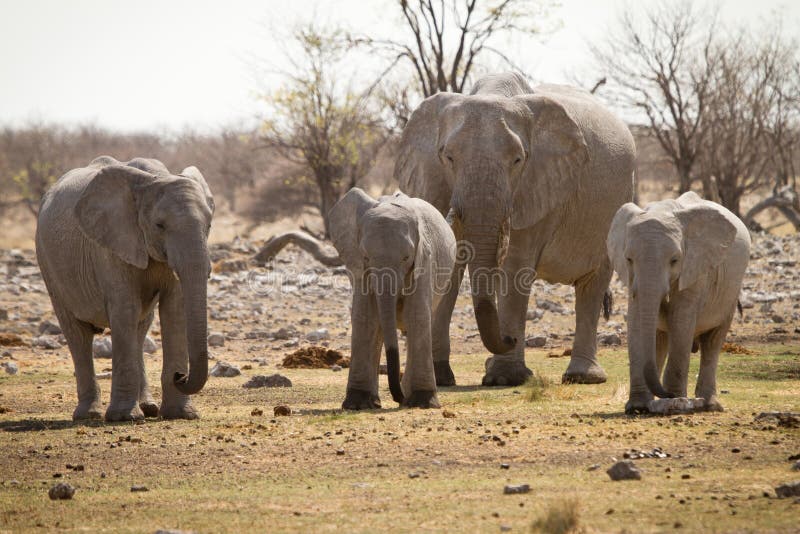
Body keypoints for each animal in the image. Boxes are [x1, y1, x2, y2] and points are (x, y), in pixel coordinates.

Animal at [35, 156, 214, 422]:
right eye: (159, 225)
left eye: (209, 225)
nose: (181, 376)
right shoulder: (111, 244)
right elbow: (125, 308)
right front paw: (124, 417)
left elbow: (175, 310)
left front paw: (182, 414)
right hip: (48, 264)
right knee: (77, 334)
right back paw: (89, 415)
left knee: (140, 328)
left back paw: (148, 408)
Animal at [328, 188, 456, 409]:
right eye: (366, 256)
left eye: (406, 258)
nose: (399, 399)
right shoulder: (361, 269)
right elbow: (366, 319)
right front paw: (356, 404)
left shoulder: (425, 261)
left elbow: (417, 316)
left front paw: (422, 402)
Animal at [395, 71, 635, 387]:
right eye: (448, 157)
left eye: (518, 160)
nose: (510, 338)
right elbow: (450, 263)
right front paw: (442, 377)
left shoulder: (537, 187)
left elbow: (514, 268)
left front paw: (503, 378)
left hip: (616, 205)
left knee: (593, 284)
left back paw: (583, 377)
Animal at [606, 191, 751, 414]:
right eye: (629, 259)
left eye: (674, 260)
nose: (666, 394)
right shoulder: (632, 279)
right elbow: (636, 323)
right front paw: (637, 407)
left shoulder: (695, 269)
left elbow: (681, 322)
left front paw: (675, 401)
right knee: (660, 340)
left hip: (731, 291)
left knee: (712, 342)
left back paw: (709, 405)